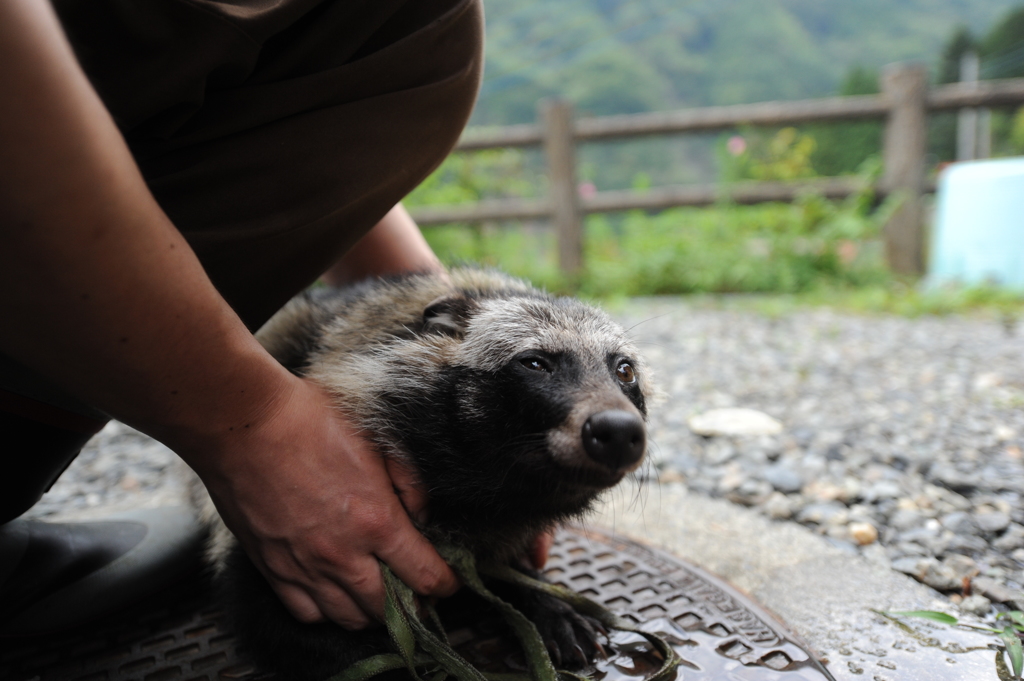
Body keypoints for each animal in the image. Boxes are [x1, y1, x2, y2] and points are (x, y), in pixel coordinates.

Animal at [195, 268, 651, 679]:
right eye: (535, 363)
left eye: (624, 371)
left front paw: (537, 597)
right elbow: (279, 624)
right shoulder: (275, 553)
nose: (618, 430)